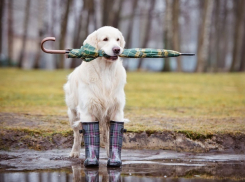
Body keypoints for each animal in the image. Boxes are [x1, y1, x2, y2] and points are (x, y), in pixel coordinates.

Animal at [63, 26, 127, 159]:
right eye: (105, 39)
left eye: (117, 39)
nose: (117, 49)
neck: (105, 71)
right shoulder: (87, 111)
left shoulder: (116, 111)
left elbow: (111, 137)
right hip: (73, 114)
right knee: (77, 135)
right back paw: (74, 152)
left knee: (105, 136)